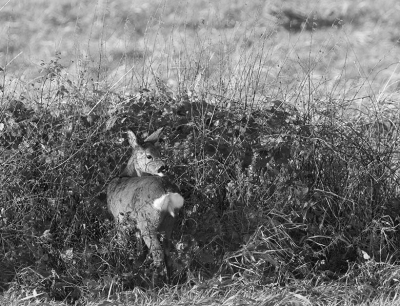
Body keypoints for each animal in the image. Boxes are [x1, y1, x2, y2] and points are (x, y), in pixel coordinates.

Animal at [106, 128, 184, 278]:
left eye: (160, 153)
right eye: (149, 156)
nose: (164, 167)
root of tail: (166, 191)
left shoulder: (119, 219)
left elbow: (122, 243)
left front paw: (123, 265)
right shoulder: (135, 224)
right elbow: (139, 246)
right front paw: (137, 263)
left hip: (148, 223)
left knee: (158, 253)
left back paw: (154, 278)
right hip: (168, 222)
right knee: (167, 251)